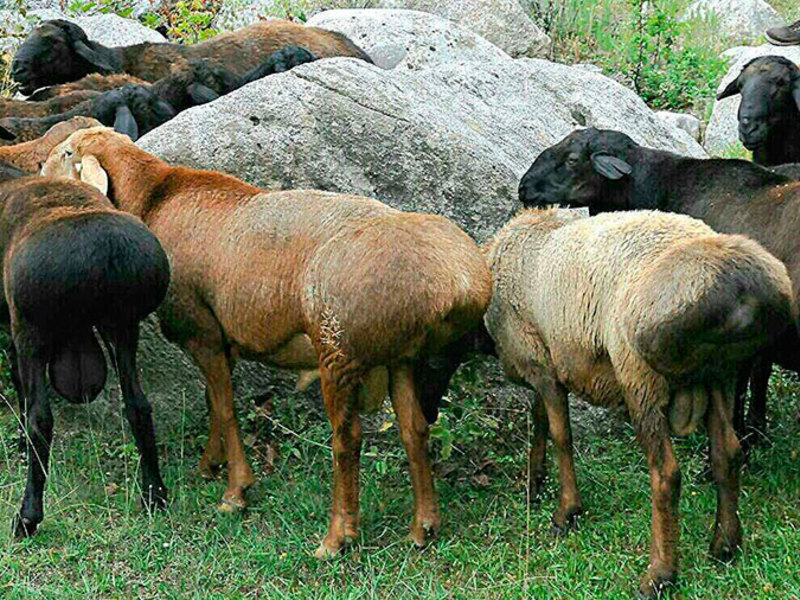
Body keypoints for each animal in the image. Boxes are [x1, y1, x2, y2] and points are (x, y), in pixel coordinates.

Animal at [0, 163, 170, 538]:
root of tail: (104, 250)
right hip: (122, 326)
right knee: (138, 405)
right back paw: (155, 494)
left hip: (32, 330)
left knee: (40, 418)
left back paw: (28, 516)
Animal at [42, 127, 492, 556]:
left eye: (68, 153)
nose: (41, 172)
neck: (155, 197)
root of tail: (459, 283)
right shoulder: (221, 337)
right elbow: (212, 401)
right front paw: (210, 466)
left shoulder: (202, 330)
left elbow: (225, 408)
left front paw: (236, 493)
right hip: (400, 356)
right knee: (415, 429)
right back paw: (423, 528)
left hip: (338, 349)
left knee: (347, 439)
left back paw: (336, 539)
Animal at [485, 208, 793, 597]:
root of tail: (735, 290)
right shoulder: (546, 360)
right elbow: (539, 418)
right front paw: (535, 483)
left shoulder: (540, 362)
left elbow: (560, 436)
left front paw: (566, 512)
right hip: (719, 377)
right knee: (728, 453)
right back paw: (725, 544)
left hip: (641, 379)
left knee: (666, 475)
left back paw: (659, 574)